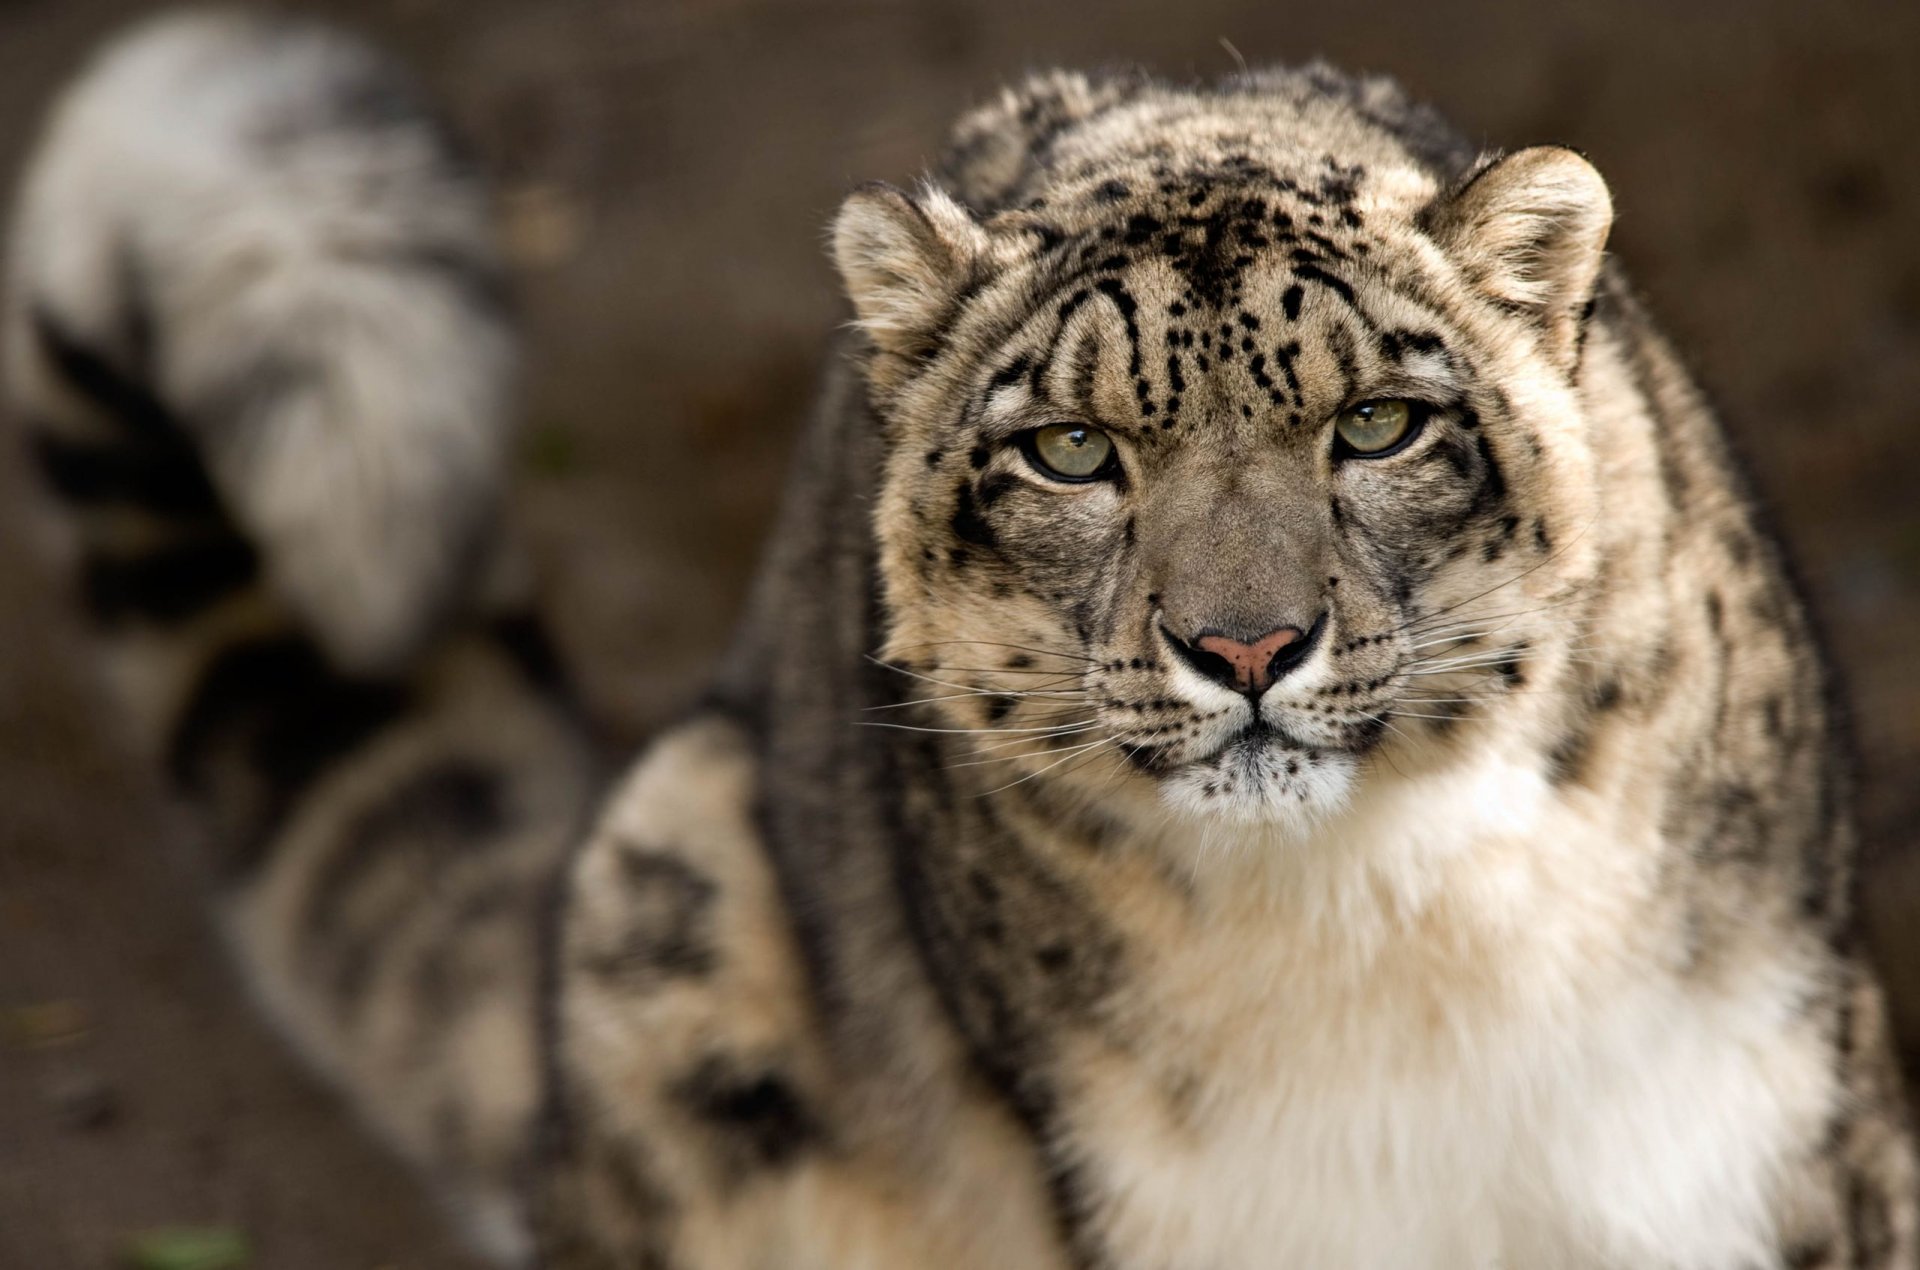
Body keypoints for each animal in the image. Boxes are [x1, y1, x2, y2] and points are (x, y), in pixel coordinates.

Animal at [7, 9, 1912, 1268]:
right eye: (1070, 450)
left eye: (1377, 424)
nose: (1247, 648)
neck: (1402, 938)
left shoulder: (1779, 1128)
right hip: (671, 912)